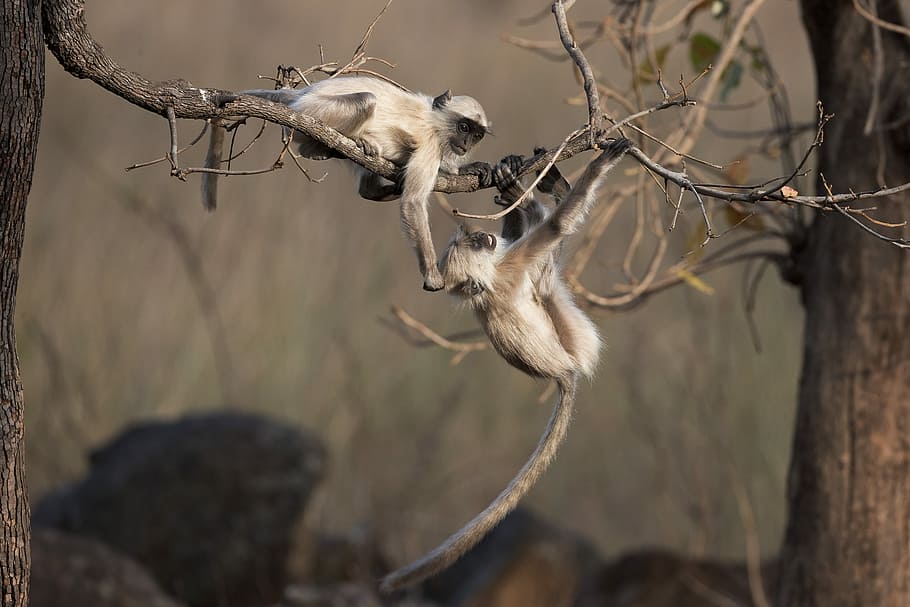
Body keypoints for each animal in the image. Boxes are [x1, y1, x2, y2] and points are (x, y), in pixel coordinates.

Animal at [201, 75, 492, 291]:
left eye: (476, 135)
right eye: (463, 128)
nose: (466, 144)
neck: (434, 120)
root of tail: (302, 94)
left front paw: (473, 167)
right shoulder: (432, 142)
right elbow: (413, 202)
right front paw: (432, 275)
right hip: (311, 112)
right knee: (364, 101)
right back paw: (320, 148)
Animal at [379, 137, 632, 593]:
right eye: (478, 244)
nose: (484, 234)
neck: (485, 285)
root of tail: (562, 375)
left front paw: (512, 183)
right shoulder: (509, 268)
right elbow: (554, 230)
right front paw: (599, 164)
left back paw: (530, 190)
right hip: (578, 341)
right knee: (548, 274)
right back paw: (547, 193)